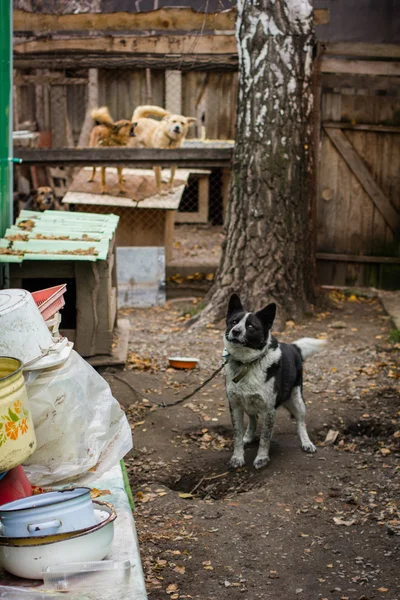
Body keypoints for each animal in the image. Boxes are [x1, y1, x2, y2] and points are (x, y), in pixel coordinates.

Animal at [223, 292, 326, 472]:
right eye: (234, 322)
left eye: (251, 326)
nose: (235, 331)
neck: (247, 363)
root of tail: (293, 347)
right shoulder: (235, 406)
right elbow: (236, 435)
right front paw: (237, 457)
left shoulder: (269, 409)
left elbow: (265, 438)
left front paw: (262, 458)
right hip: (248, 403)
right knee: (253, 419)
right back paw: (248, 436)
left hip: (298, 400)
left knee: (301, 422)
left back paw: (306, 443)